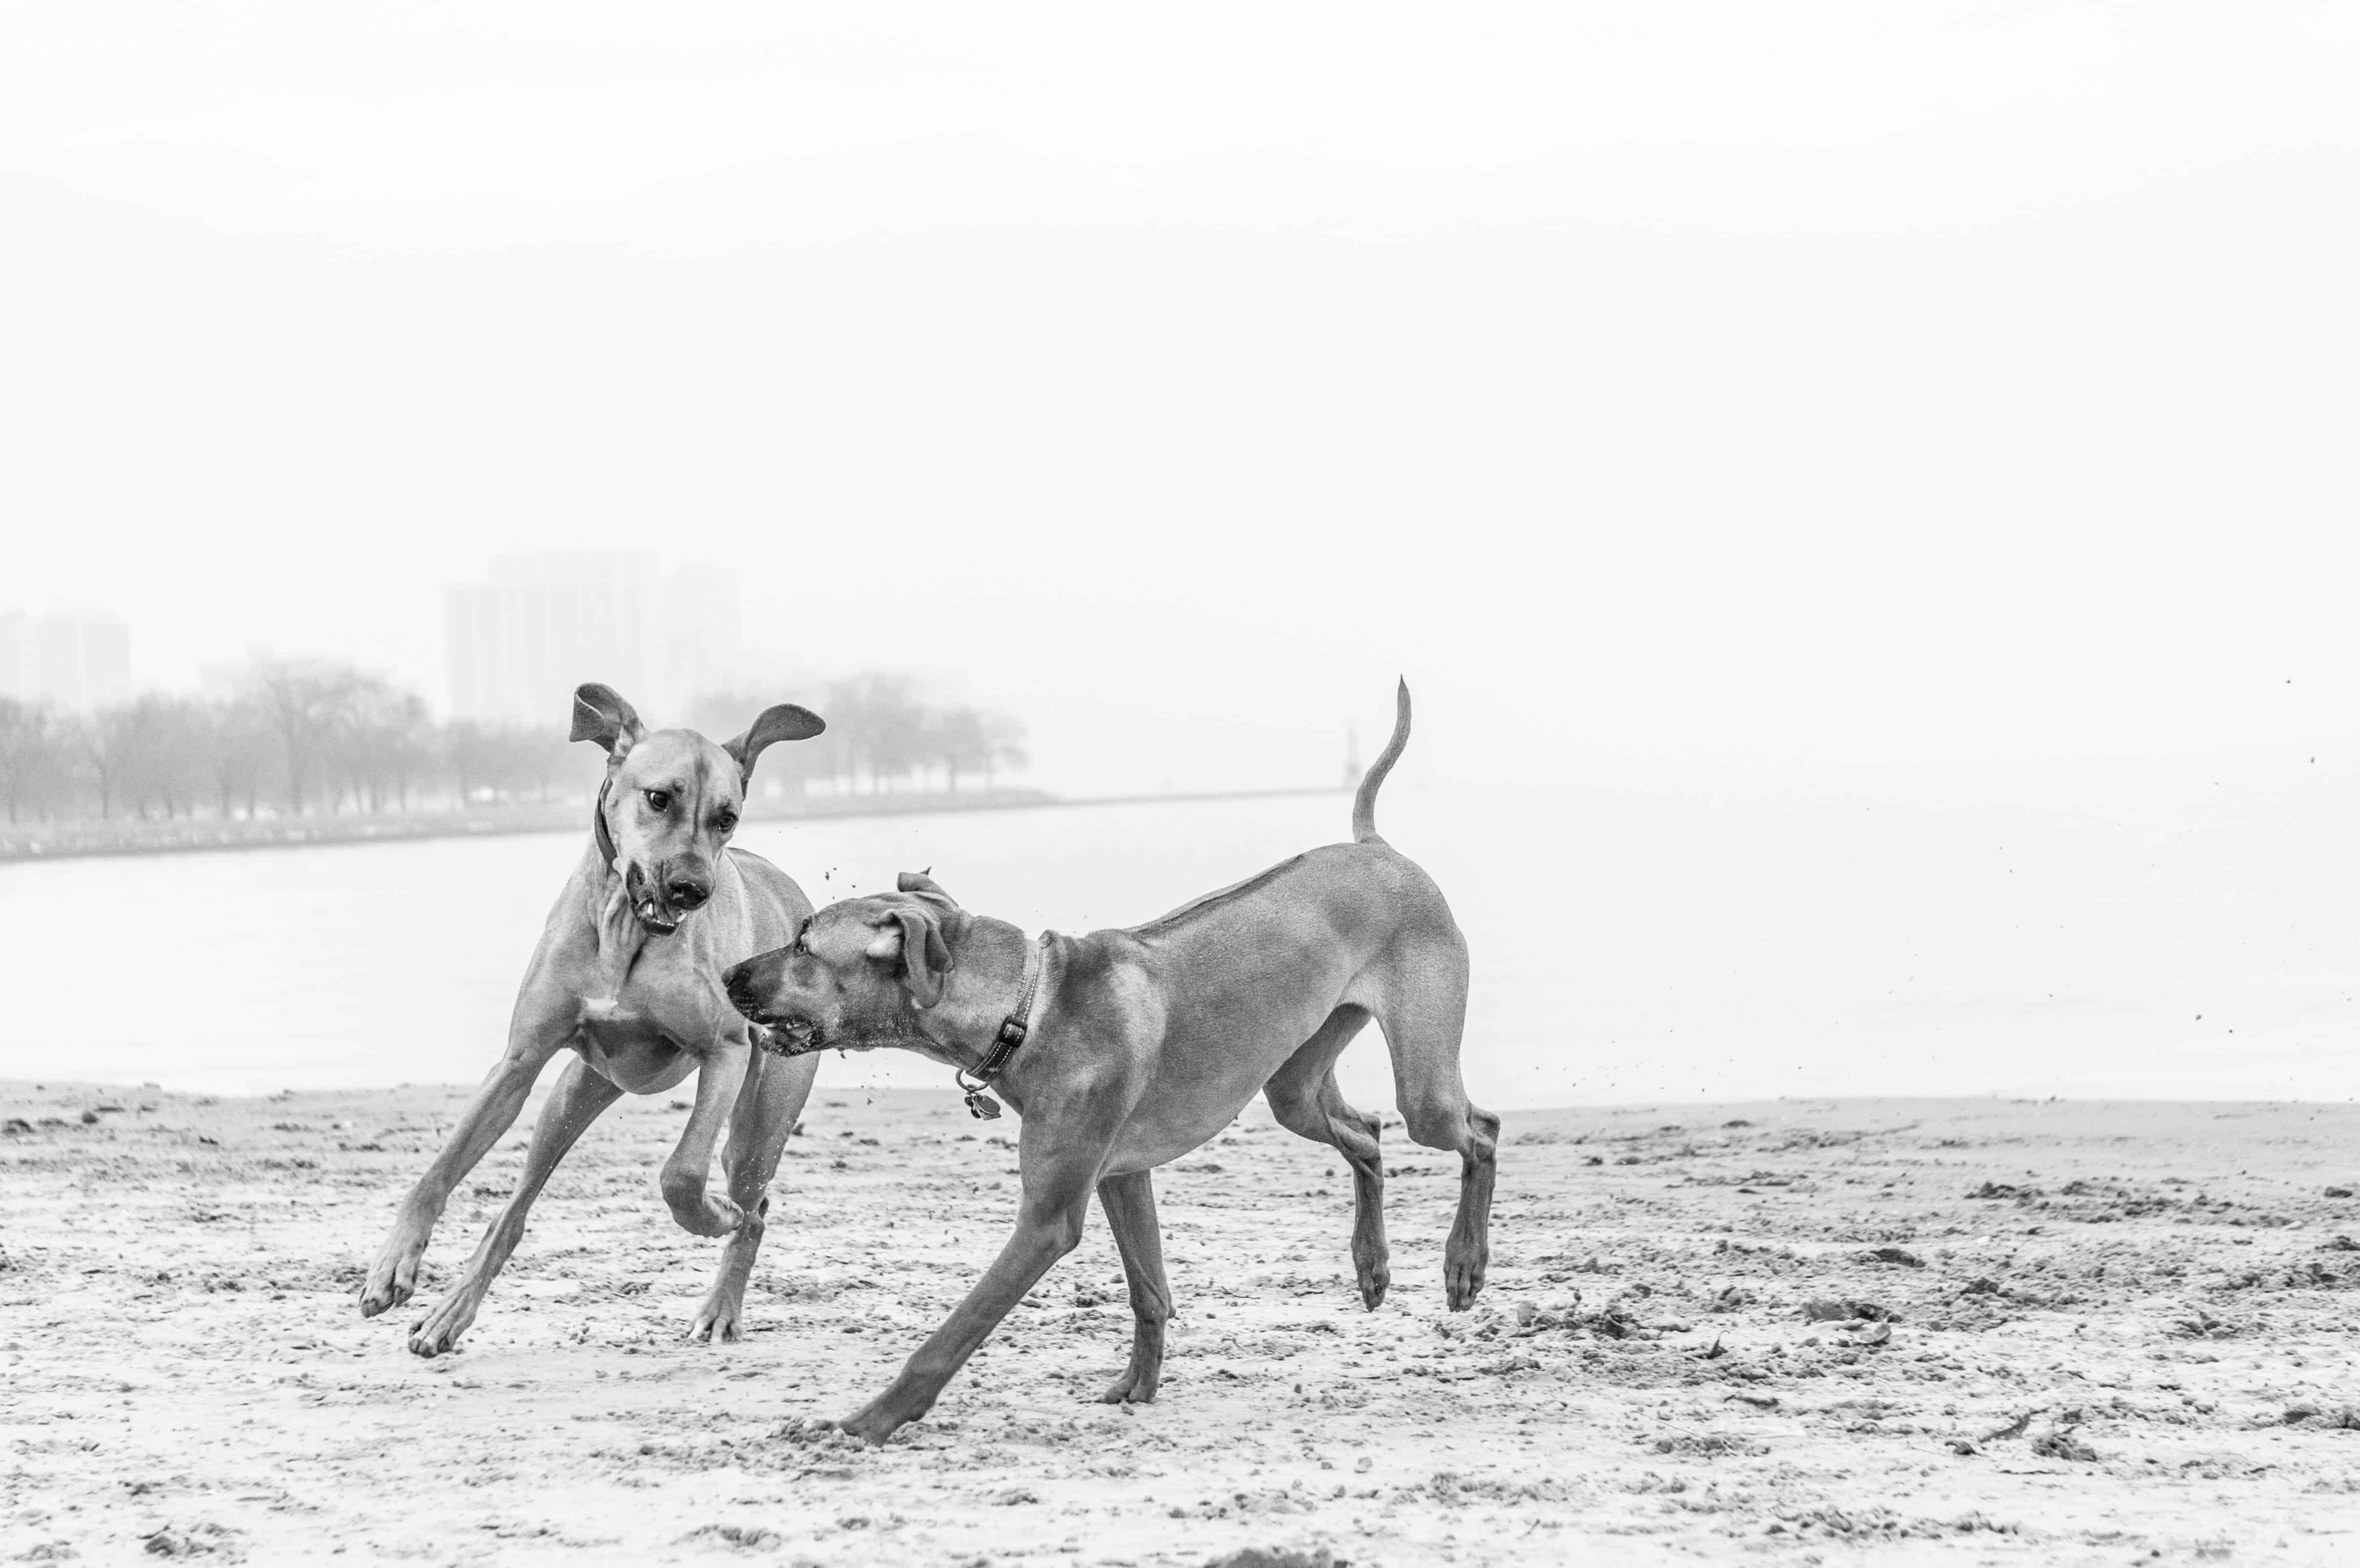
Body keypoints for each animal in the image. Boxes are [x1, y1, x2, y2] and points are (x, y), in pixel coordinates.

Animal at [354, 683, 826, 1358]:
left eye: (726, 817)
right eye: (659, 798)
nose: (693, 888)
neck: (626, 929)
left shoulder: (725, 1051)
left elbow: (682, 1172)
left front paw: (707, 1218)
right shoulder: (519, 1061)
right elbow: (438, 1168)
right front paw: (392, 1265)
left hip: (759, 1123)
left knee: (754, 1207)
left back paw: (721, 1303)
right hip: (575, 1094)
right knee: (512, 1212)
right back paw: (449, 1314)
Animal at [717, 683, 1491, 1443]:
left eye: (803, 946)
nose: (727, 974)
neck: (1027, 1006)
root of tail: (1376, 847)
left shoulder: (1048, 1217)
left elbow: (948, 1337)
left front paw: (866, 1422)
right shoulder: (1122, 1173)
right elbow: (1149, 1291)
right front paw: (1139, 1386)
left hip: (1424, 1087)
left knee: (1478, 1131)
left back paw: (1465, 1263)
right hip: (1293, 1085)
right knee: (1367, 1133)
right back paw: (1372, 1265)